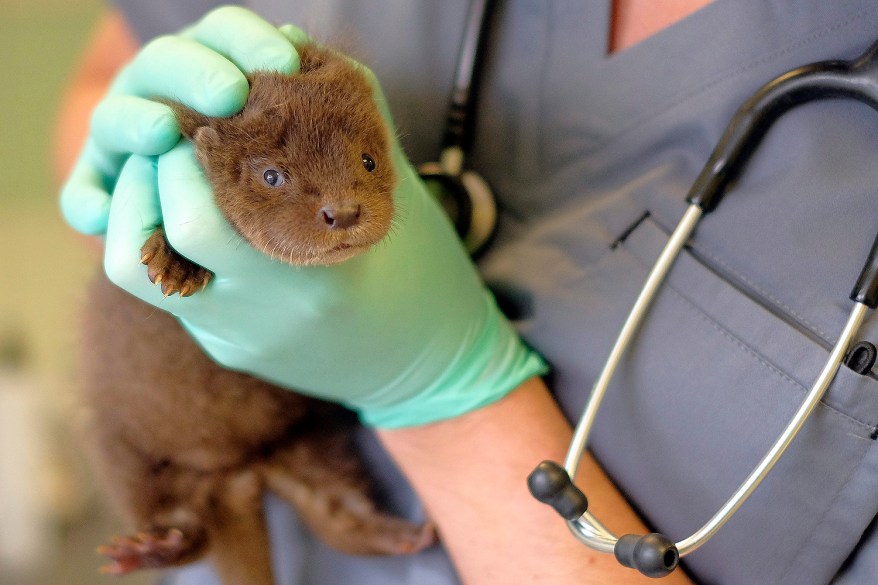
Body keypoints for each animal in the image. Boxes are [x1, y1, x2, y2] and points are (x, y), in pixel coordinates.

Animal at [81, 42, 436, 584]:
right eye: (272, 175)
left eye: (369, 160)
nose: (343, 211)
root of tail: (237, 477)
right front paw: (174, 260)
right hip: (115, 448)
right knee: (184, 528)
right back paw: (148, 548)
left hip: (311, 443)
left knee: (338, 514)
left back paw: (402, 536)